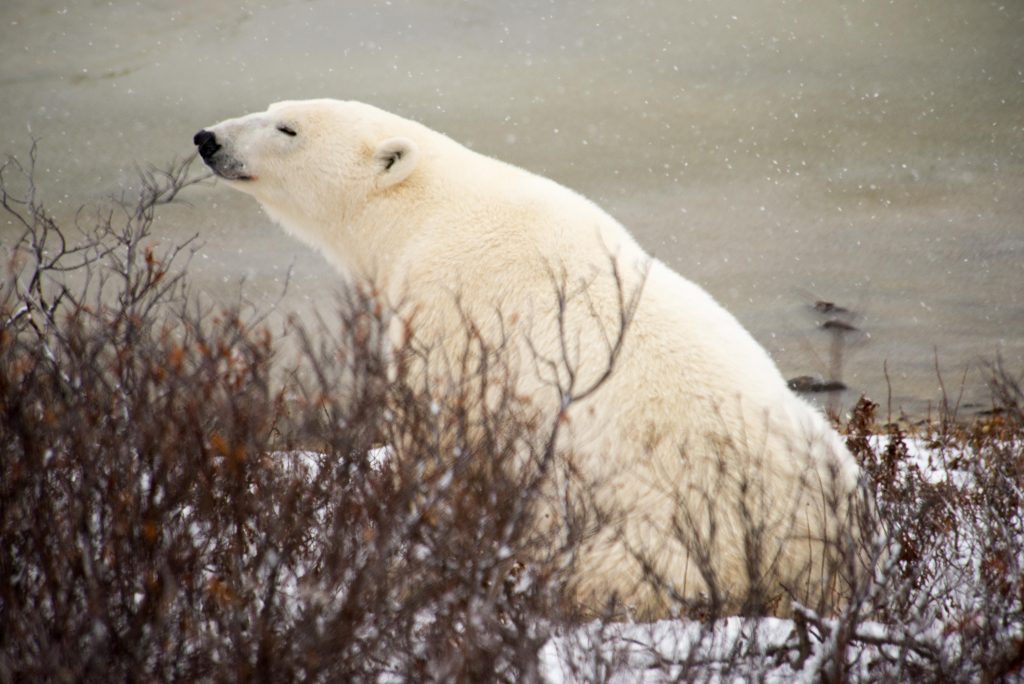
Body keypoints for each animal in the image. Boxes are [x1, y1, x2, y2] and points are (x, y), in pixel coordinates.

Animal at [194, 99, 869, 619]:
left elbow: (439, 430)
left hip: (665, 528)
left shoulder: (449, 313)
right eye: (273, 108)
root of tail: (805, 549)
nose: (207, 138)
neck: (427, 212)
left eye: (287, 128)